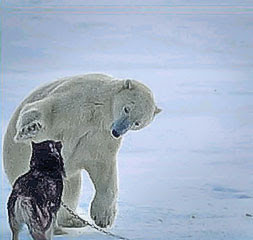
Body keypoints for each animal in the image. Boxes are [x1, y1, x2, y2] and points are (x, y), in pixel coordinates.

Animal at [2, 73, 161, 229]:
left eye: (137, 123)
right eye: (126, 109)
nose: (117, 131)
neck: (99, 111)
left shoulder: (100, 135)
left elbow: (102, 166)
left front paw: (103, 218)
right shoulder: (75, 101)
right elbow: (46, 110)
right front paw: (30, 128)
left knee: (71, 188)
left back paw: (73, 220)